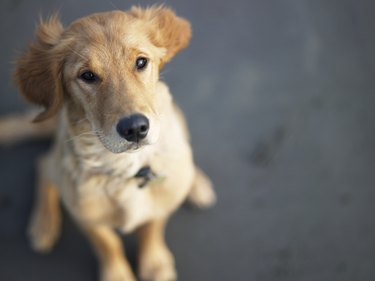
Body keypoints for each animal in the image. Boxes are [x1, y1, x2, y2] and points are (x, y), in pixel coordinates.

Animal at [2, 6, 217, 280]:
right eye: (87, 76)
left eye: (141, 62)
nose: (135, 128)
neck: (126, 167)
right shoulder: (87, 216)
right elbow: (107, 243)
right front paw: (117, 273)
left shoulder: (161, 202)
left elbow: (151, 228)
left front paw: (154, 263)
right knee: (43, 164)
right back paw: (44, 224)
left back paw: (196, 184)